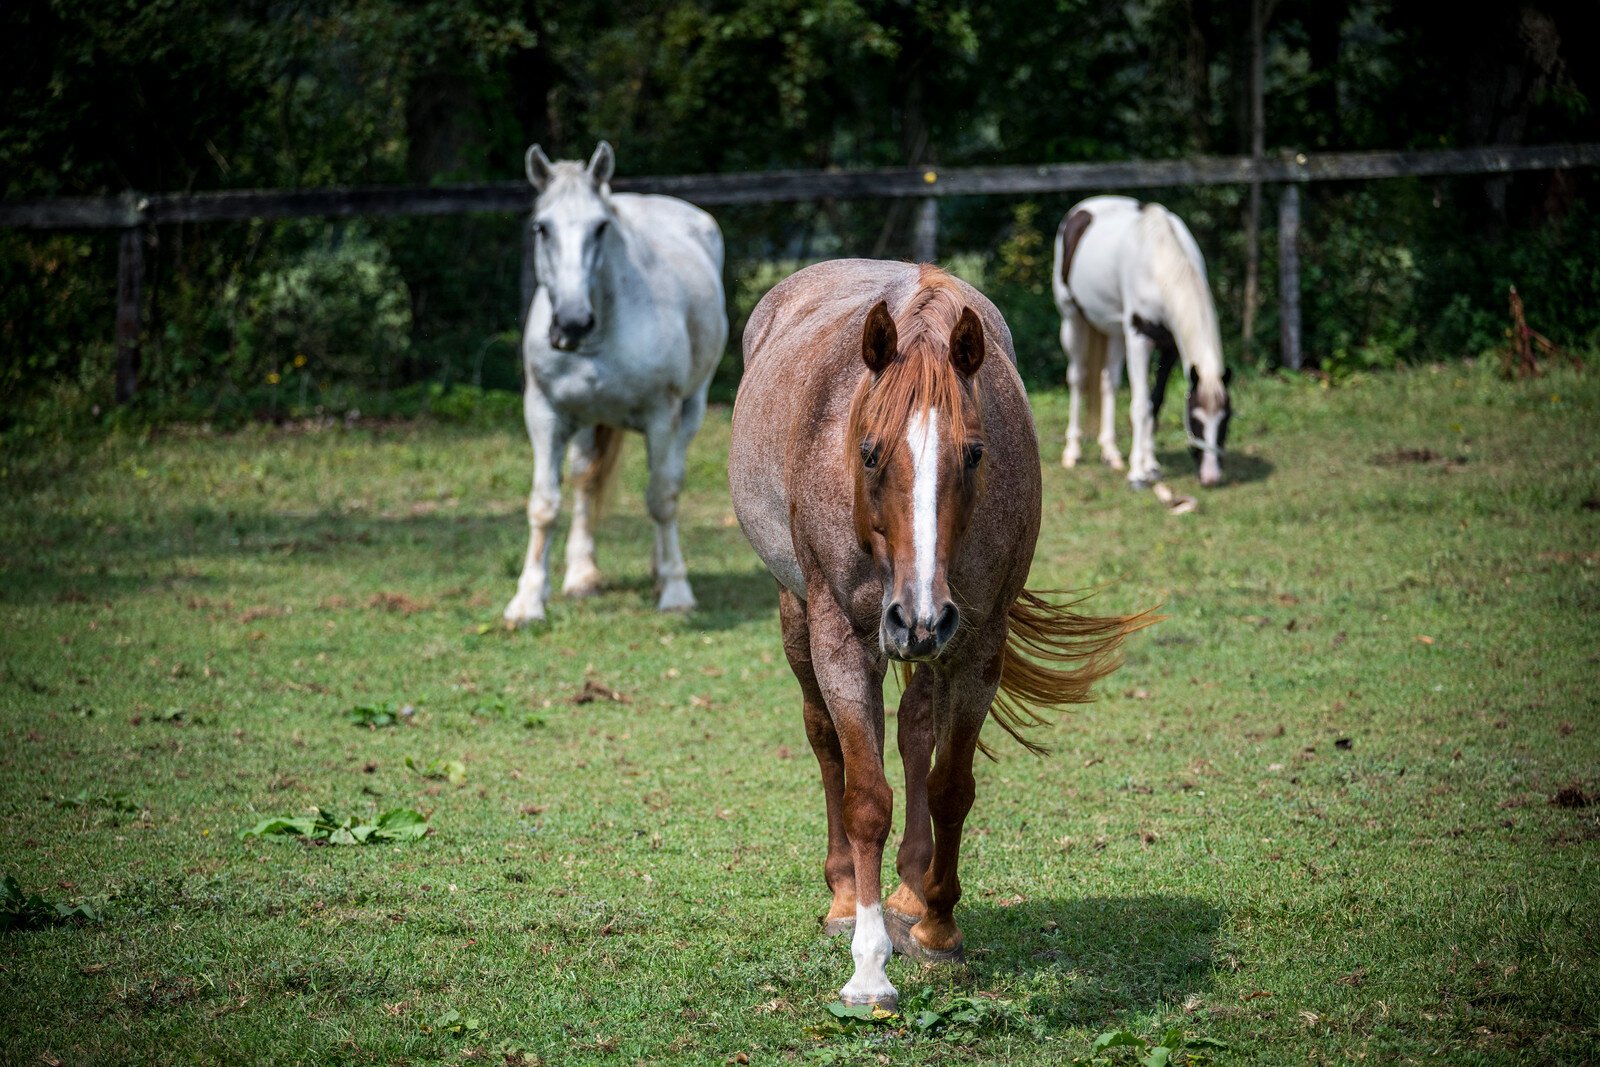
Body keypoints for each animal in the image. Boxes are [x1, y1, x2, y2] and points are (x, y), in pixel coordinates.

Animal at [503, 142, 728, 625]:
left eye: (601, 226)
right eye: (541, 227)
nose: (571, 323)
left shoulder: (662, 415)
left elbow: (661, 497)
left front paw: (676, 590)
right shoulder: (544, 414)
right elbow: (544, 504)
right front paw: (528, 600)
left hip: (691, 411)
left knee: (669, 482)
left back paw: (661, 570)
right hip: (588, 422)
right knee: (585, 479)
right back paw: (581, 575)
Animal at [730, 260, 1148, 1009]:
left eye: (975, 454)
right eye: (869, 453)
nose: (918, 615)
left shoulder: (978, 644)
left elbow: (950, 783)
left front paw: (939, 926)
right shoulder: (845, 640)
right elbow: (868, 798)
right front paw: (869, 968)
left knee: (914, 728)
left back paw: (908, 890)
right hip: (799, 615)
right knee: (823, 737)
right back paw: (846, 897)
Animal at [1052, 195, 1233, 489]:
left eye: (1226, 418)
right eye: (1195, 419)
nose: (1210, 476)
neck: (1160, 260)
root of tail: (1082, 208)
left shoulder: (1170, 346)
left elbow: (1155, 402)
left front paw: (1152, 466)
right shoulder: (1139, 340)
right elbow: (1140, 406)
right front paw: (1138, 472)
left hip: (1114, 330)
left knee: (1108, 382)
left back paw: (1111, 453)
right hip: (1072, 319)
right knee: (1077, 378)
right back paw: (1072, 452)